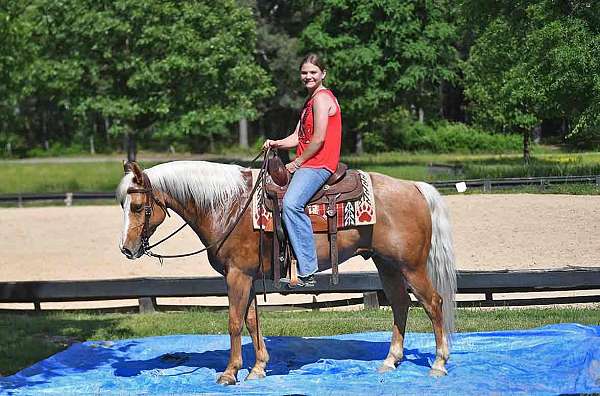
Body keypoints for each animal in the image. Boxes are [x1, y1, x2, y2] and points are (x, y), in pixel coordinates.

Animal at [116, 160, 454, 384]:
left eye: (137, 207)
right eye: (123, 206)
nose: (126, 249)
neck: (229, 205)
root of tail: (414, 187)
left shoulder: (237, 275)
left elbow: (234, 322)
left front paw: (229, 373)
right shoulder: (247, 276)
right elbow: (252, 321)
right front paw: (258, 368)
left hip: (412, 267)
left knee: (433, 304)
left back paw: (438, 363)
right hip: (388, 265)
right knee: (400, 304)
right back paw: (390, 361)